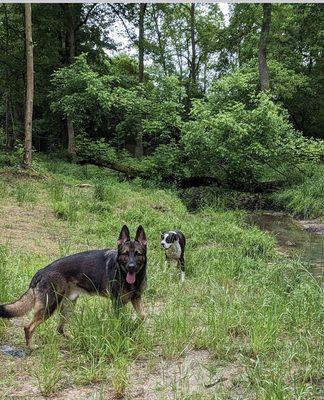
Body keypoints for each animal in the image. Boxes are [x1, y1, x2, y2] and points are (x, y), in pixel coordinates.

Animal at [0, 225, 147, 346]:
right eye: (125, 254)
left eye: (138, 254)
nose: (131, 267)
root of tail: (42, 271)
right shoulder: (117, 303)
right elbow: (119, 323)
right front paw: (121, 334)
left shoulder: (136, 298)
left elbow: (143, 316)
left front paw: (132, 328)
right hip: (50, 307)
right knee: (28, 327)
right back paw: (31, 348)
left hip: (69, 306)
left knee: (59, 329)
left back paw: (74, 339)